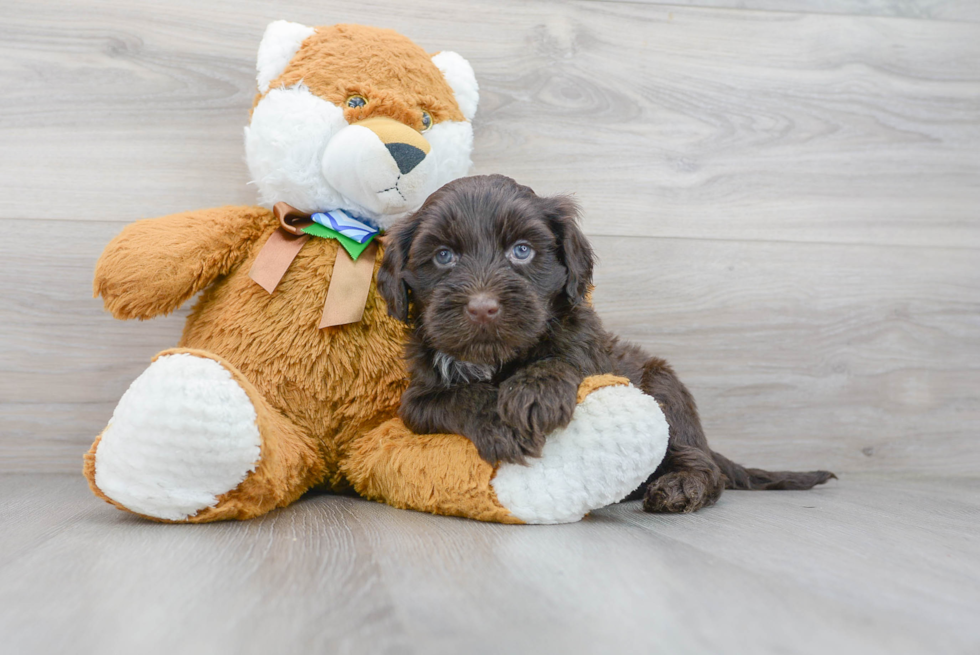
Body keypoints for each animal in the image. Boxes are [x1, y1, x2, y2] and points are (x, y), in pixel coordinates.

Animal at [378, 174, 836, 512]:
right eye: (443, 256)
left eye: (522, 251)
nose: (482, 308)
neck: (498, 358)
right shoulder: (417, 398)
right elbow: (457, 397)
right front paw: (498, 419)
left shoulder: (589, 347)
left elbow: (564, 358)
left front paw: (533, 392)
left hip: (666, 391)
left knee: (707, 467)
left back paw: (681, 487)